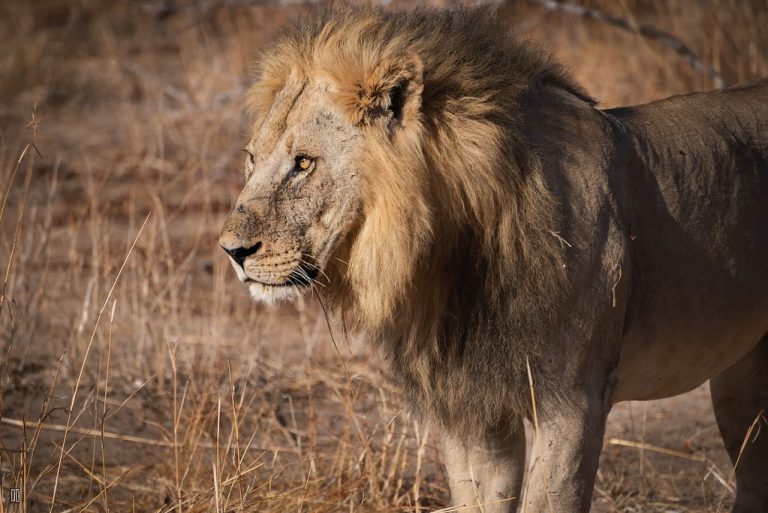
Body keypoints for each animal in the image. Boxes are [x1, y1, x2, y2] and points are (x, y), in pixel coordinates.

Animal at [219, 6, 768, 512]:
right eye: (251, 159)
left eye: (303, 163)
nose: (231, 251)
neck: (451, 259)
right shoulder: (471, 410)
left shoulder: (571, 405)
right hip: (741, 380)